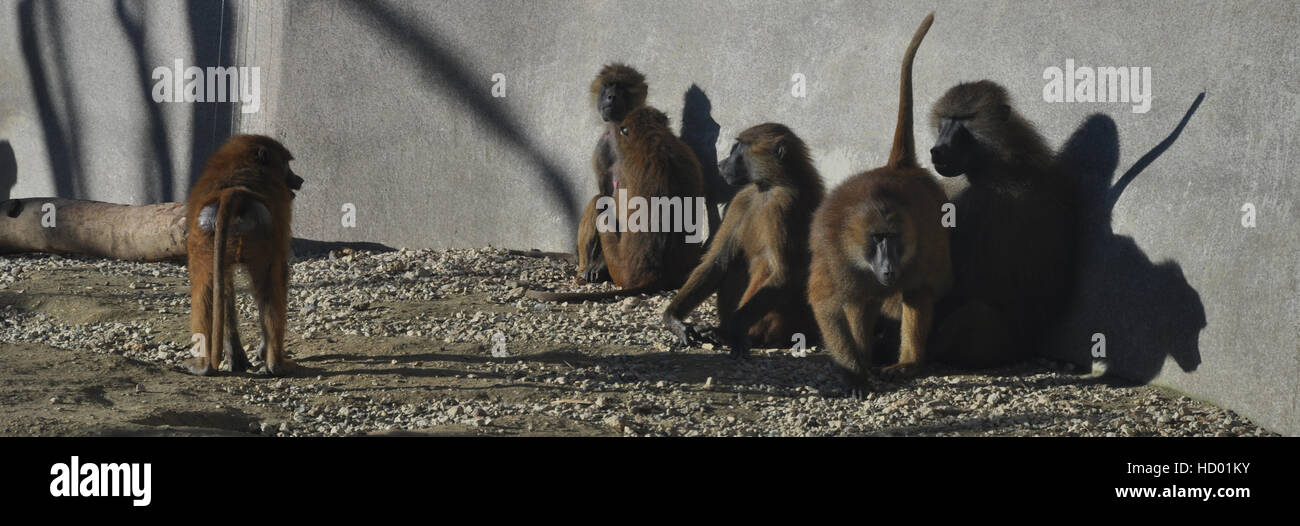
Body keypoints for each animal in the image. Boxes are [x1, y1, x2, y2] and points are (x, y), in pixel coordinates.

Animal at [184, 134, 303, 377]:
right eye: (287, 164)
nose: (299, 180)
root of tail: (234, 191)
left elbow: (224, 288)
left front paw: (236, 355)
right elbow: (281, 278)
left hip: (205, 233)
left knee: (205, 287)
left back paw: (203, 365)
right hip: (262, 232)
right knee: (270, 287)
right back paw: (276, 365)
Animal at [575, 63, 649, 284]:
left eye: (621, 87)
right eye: (608, 86)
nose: (610, 96)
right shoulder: (602, 146)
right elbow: (606, 194)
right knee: (598, 199)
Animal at [661, 123, 824, 357]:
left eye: (740, 149)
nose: (721, 163)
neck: (769, 187)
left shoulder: (784, 207)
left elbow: (786, 273)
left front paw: (733, 330)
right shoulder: (742, 199)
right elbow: (717, 262)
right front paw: (674, 321)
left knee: (766, 267)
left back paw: (734, 334)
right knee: (733, 265)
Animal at [806, 13, 948, 393]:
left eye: (893, 238)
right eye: (877, 238)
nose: (888, 268)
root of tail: (898, 168)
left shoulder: (921, 246)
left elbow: (919, 291)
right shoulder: (835, 256)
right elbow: (827, 306)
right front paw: (853, 371)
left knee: (912, 293)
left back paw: (906, 363)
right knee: (861, 302)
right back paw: (864, 359)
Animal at [927, 80, 1075, 367]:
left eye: (964, 120)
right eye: (945, 120)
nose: (938, 150)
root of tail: (1025, 350)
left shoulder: (988, 202)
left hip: (1003, 343)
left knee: (975, 313)